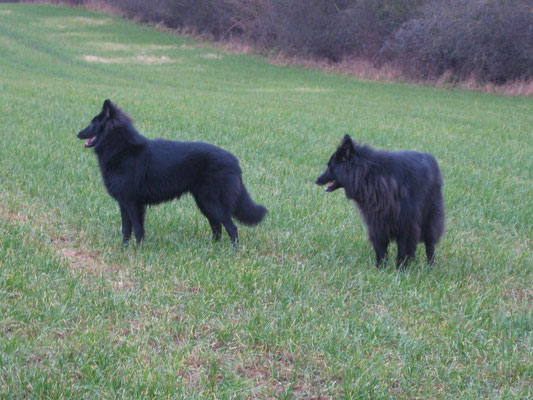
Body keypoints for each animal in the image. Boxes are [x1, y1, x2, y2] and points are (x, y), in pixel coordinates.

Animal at [76, 99, 266, 244]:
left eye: (93, 123)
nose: (77, 134)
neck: (122, 149)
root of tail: (234, 161)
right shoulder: (124, 203)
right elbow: (126, 229)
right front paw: (124, 248)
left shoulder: (132, 203)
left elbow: (137, 229)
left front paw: (138, 249)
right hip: (205, 203)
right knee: (216, 226)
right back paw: (214, 246)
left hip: (213, 203)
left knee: (231, 227)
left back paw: (233, 251)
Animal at [316, 134, 444, 268]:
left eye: (330, 167)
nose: (316, 180)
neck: (369, 175)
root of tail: (432, 160)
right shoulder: (376, 222)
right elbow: (380, 247)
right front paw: (380, 267)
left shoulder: (405, 223)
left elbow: (402, 248)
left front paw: (400, 268)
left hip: (430, 218)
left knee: (430, 244)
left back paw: (430, 266)